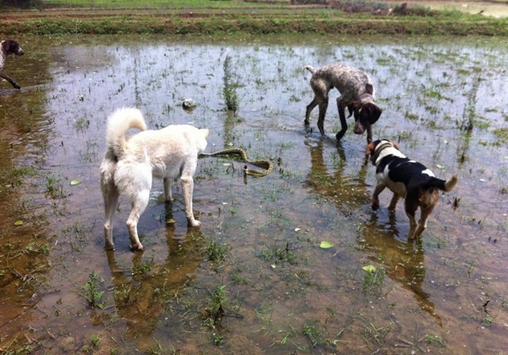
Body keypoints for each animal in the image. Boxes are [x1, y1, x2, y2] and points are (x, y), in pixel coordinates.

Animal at [100, 108, 209, 250]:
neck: (191, 136)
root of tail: (121, 149)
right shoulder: (187, 179)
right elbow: (189, 208)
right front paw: (193, 223)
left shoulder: (167, 178)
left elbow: (168, 196)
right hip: (143, 195)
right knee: (130, 222)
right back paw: (138, 246)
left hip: (111, 196)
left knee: (107, 225)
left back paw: (110, 246)